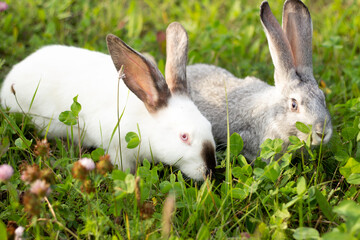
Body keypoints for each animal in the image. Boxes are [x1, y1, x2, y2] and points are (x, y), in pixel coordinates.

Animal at [0, 22, 217, 180]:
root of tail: (9, 81)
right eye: (184, 137)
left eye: (209, 126)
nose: (210, 171)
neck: (145, 123)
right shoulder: (117, 147)